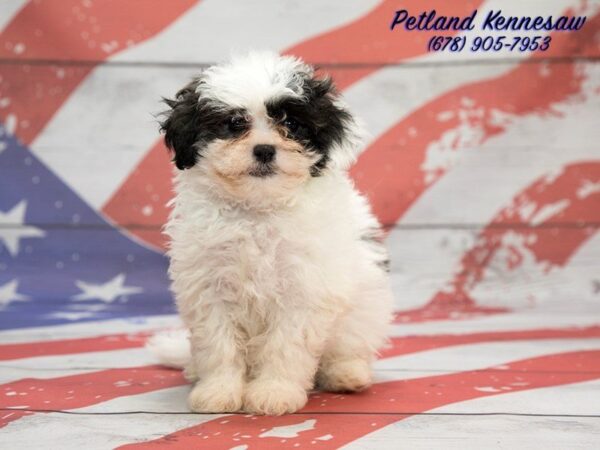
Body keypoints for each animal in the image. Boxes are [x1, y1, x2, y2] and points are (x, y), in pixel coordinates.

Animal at [149, 51, 394, 414]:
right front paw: (218, 391)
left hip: (366, 305)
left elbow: (286, 345)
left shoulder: (303, 287)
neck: (257, 209)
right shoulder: (210, 286)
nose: (264, 149)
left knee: (349, 343)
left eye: (291, 125)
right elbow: (217, 343)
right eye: (234, 123)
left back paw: (346, 373)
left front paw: (275, 392)